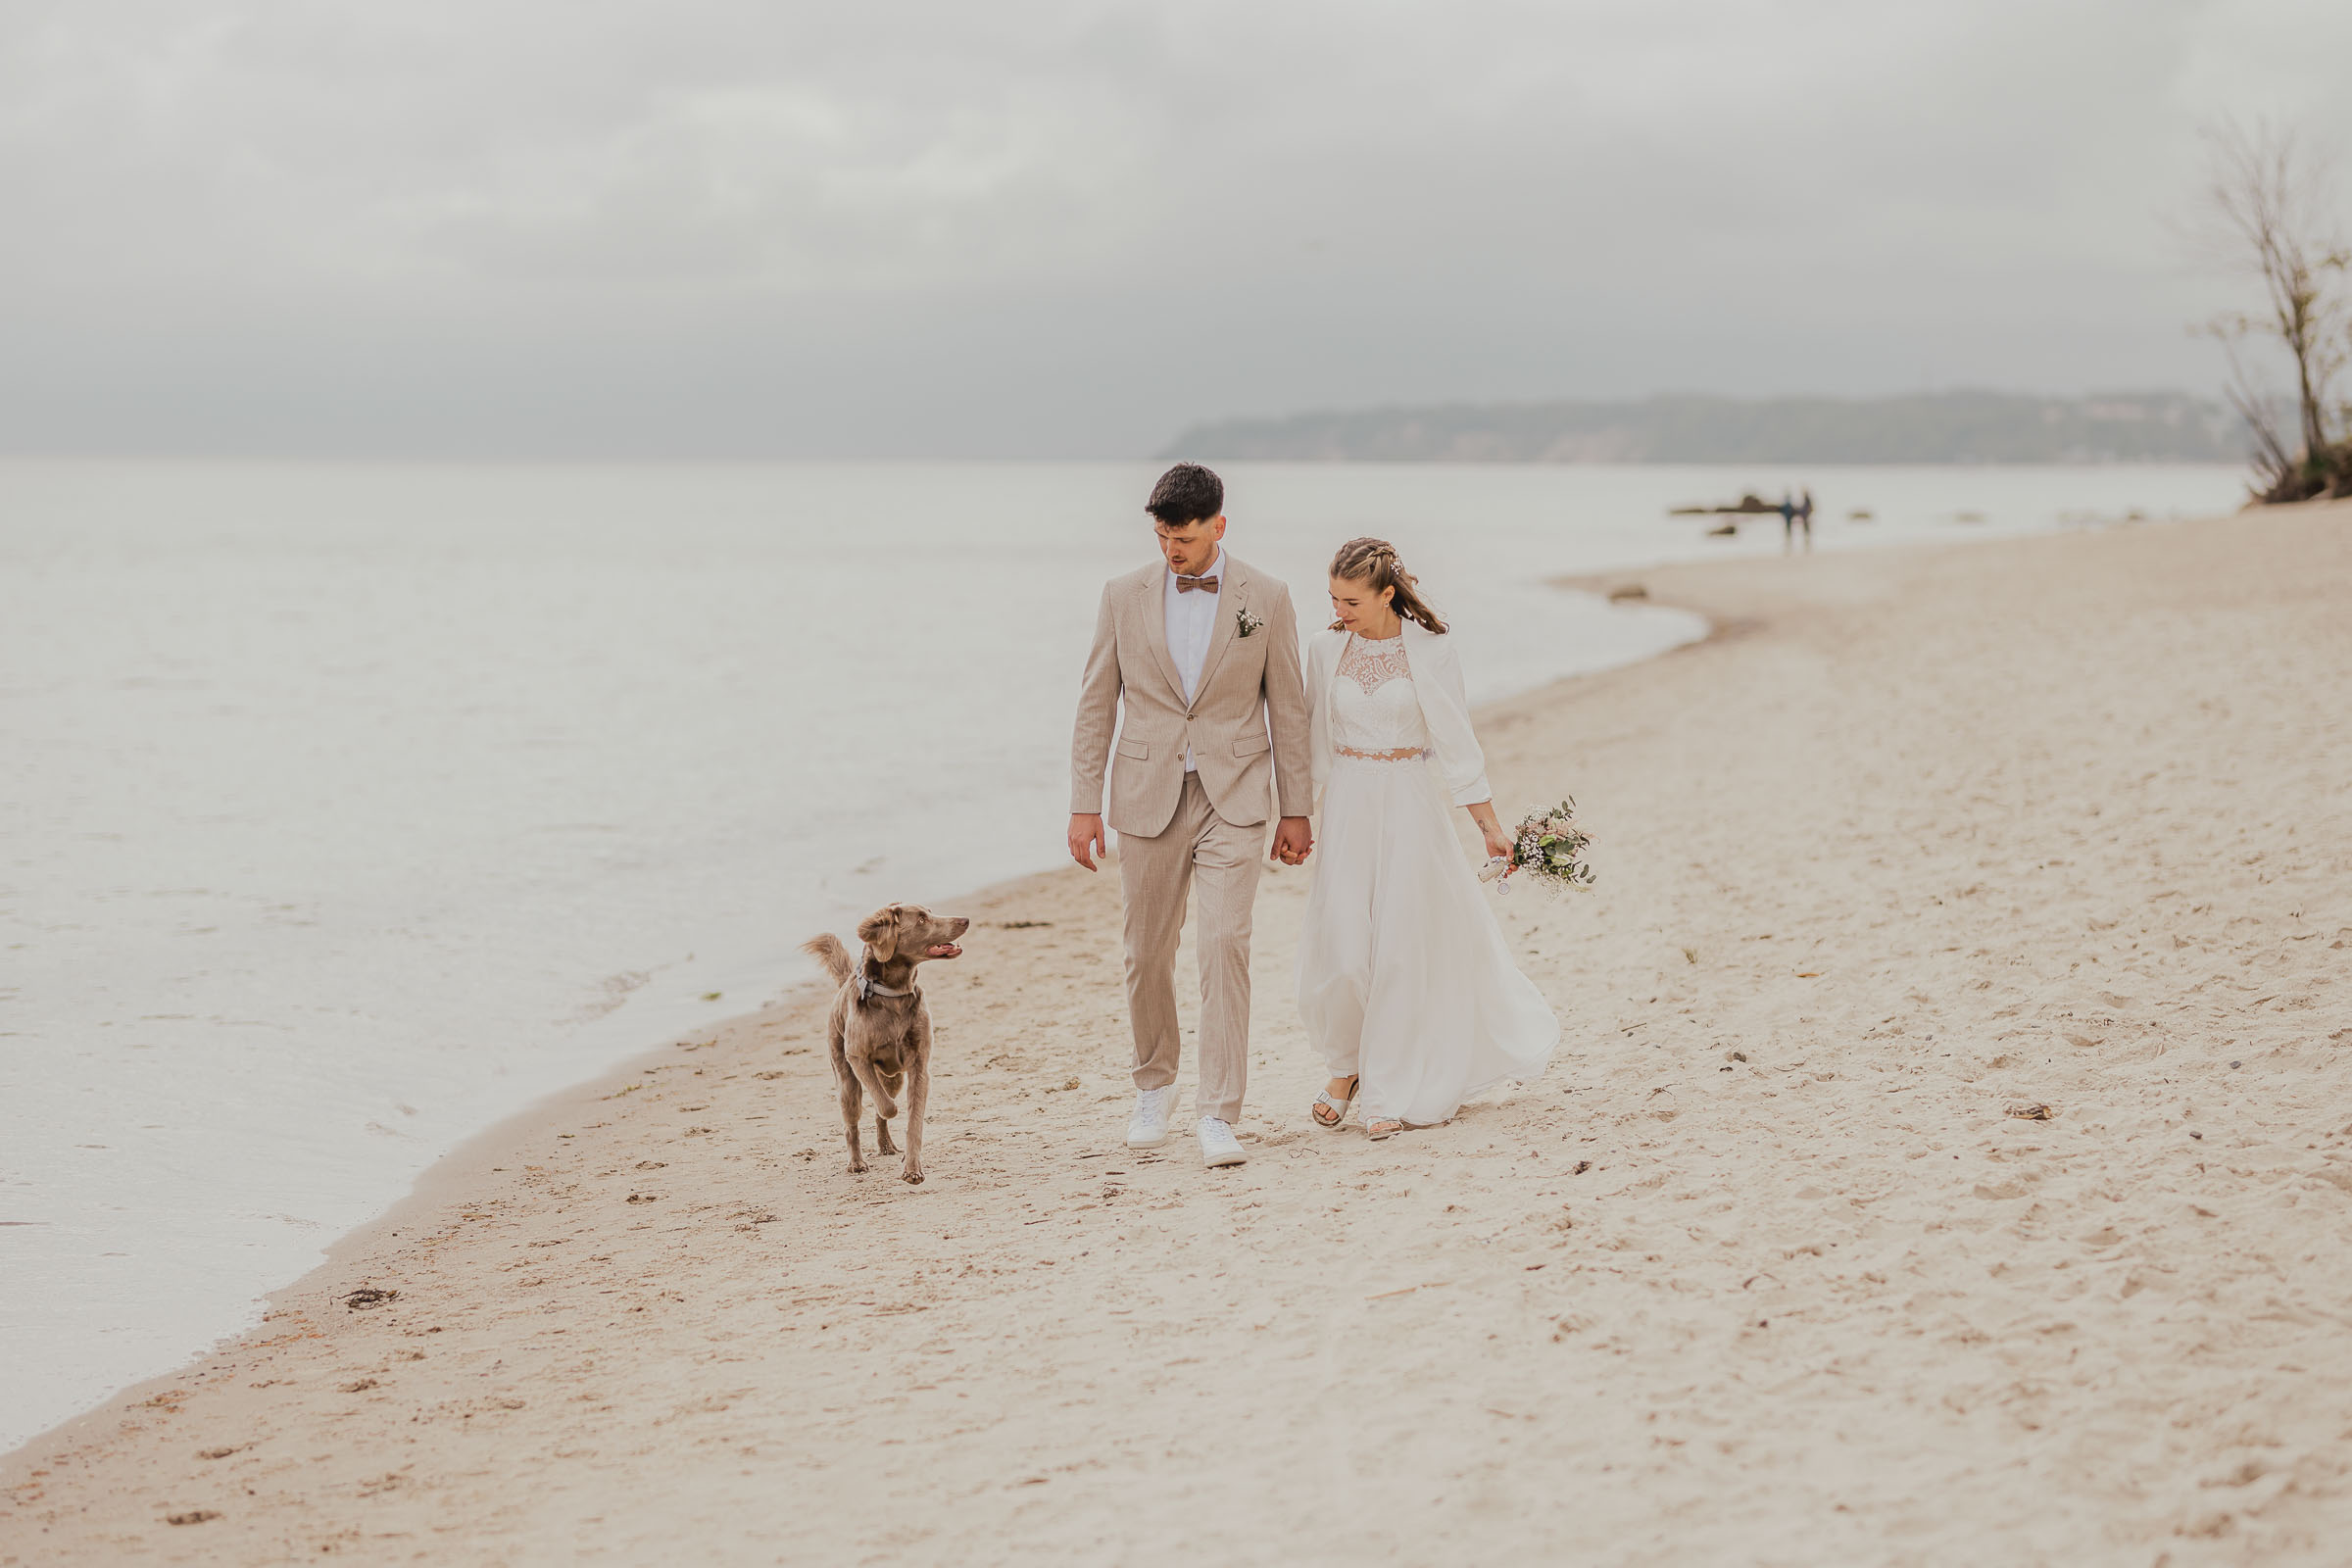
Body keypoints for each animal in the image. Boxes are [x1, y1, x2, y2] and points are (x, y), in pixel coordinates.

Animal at [800, 903, 964, 1184]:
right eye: (921, 920)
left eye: (930, 913)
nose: (965, 920)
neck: (894, 994)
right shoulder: (857, 1058)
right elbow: (887, 1107)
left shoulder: (919, 1066)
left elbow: (912, 1120)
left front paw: (912, 1168)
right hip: (847, 1081)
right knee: (852, 1123)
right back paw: (856, 1163)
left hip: (894, 1078)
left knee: (882, 1106)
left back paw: (886, 1146)